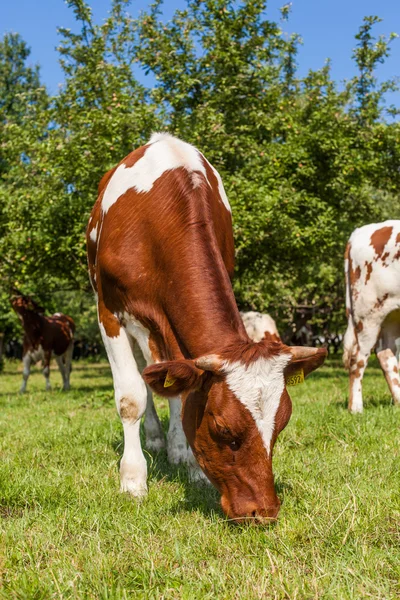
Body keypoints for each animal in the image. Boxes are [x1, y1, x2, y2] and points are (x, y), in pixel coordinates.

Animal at [86, 134, 326, 524]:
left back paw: (173, 448)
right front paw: (133, 480)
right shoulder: (109, 311)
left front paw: (191, 466)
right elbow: (131, 397)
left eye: (281, 425)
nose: (264, 511)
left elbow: (183, 392)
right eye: (223, 429)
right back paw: (154, 439)